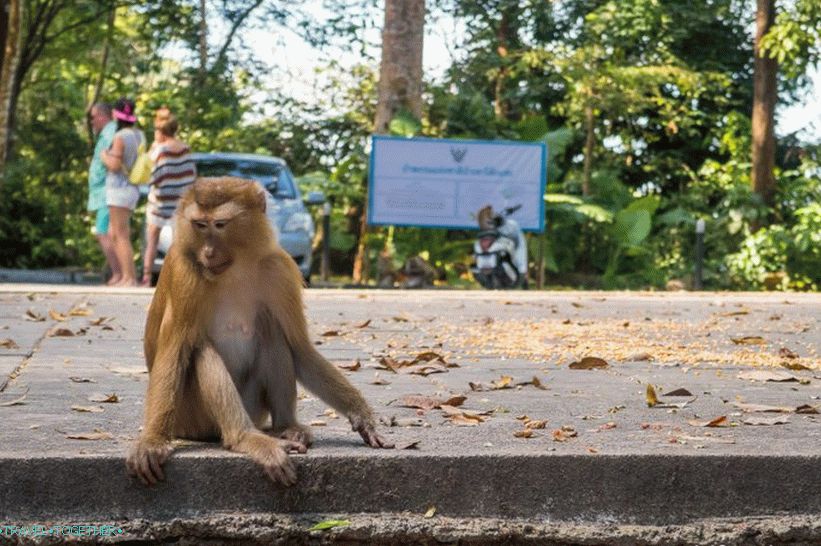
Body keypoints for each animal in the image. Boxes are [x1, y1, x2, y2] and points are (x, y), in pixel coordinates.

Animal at [126, 177, 392, 487]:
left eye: (220, 225)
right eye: (199, 225)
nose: (208, 253)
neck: (235, 269)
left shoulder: (279, 269)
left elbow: (300, 348)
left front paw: (360, 413)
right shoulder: (185, 273)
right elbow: (174, 351)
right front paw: (152, 441)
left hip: (253, 406)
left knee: (271, 329)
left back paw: (286, 427)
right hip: (190, 418)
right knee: (200, 349)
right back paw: (245, 438)